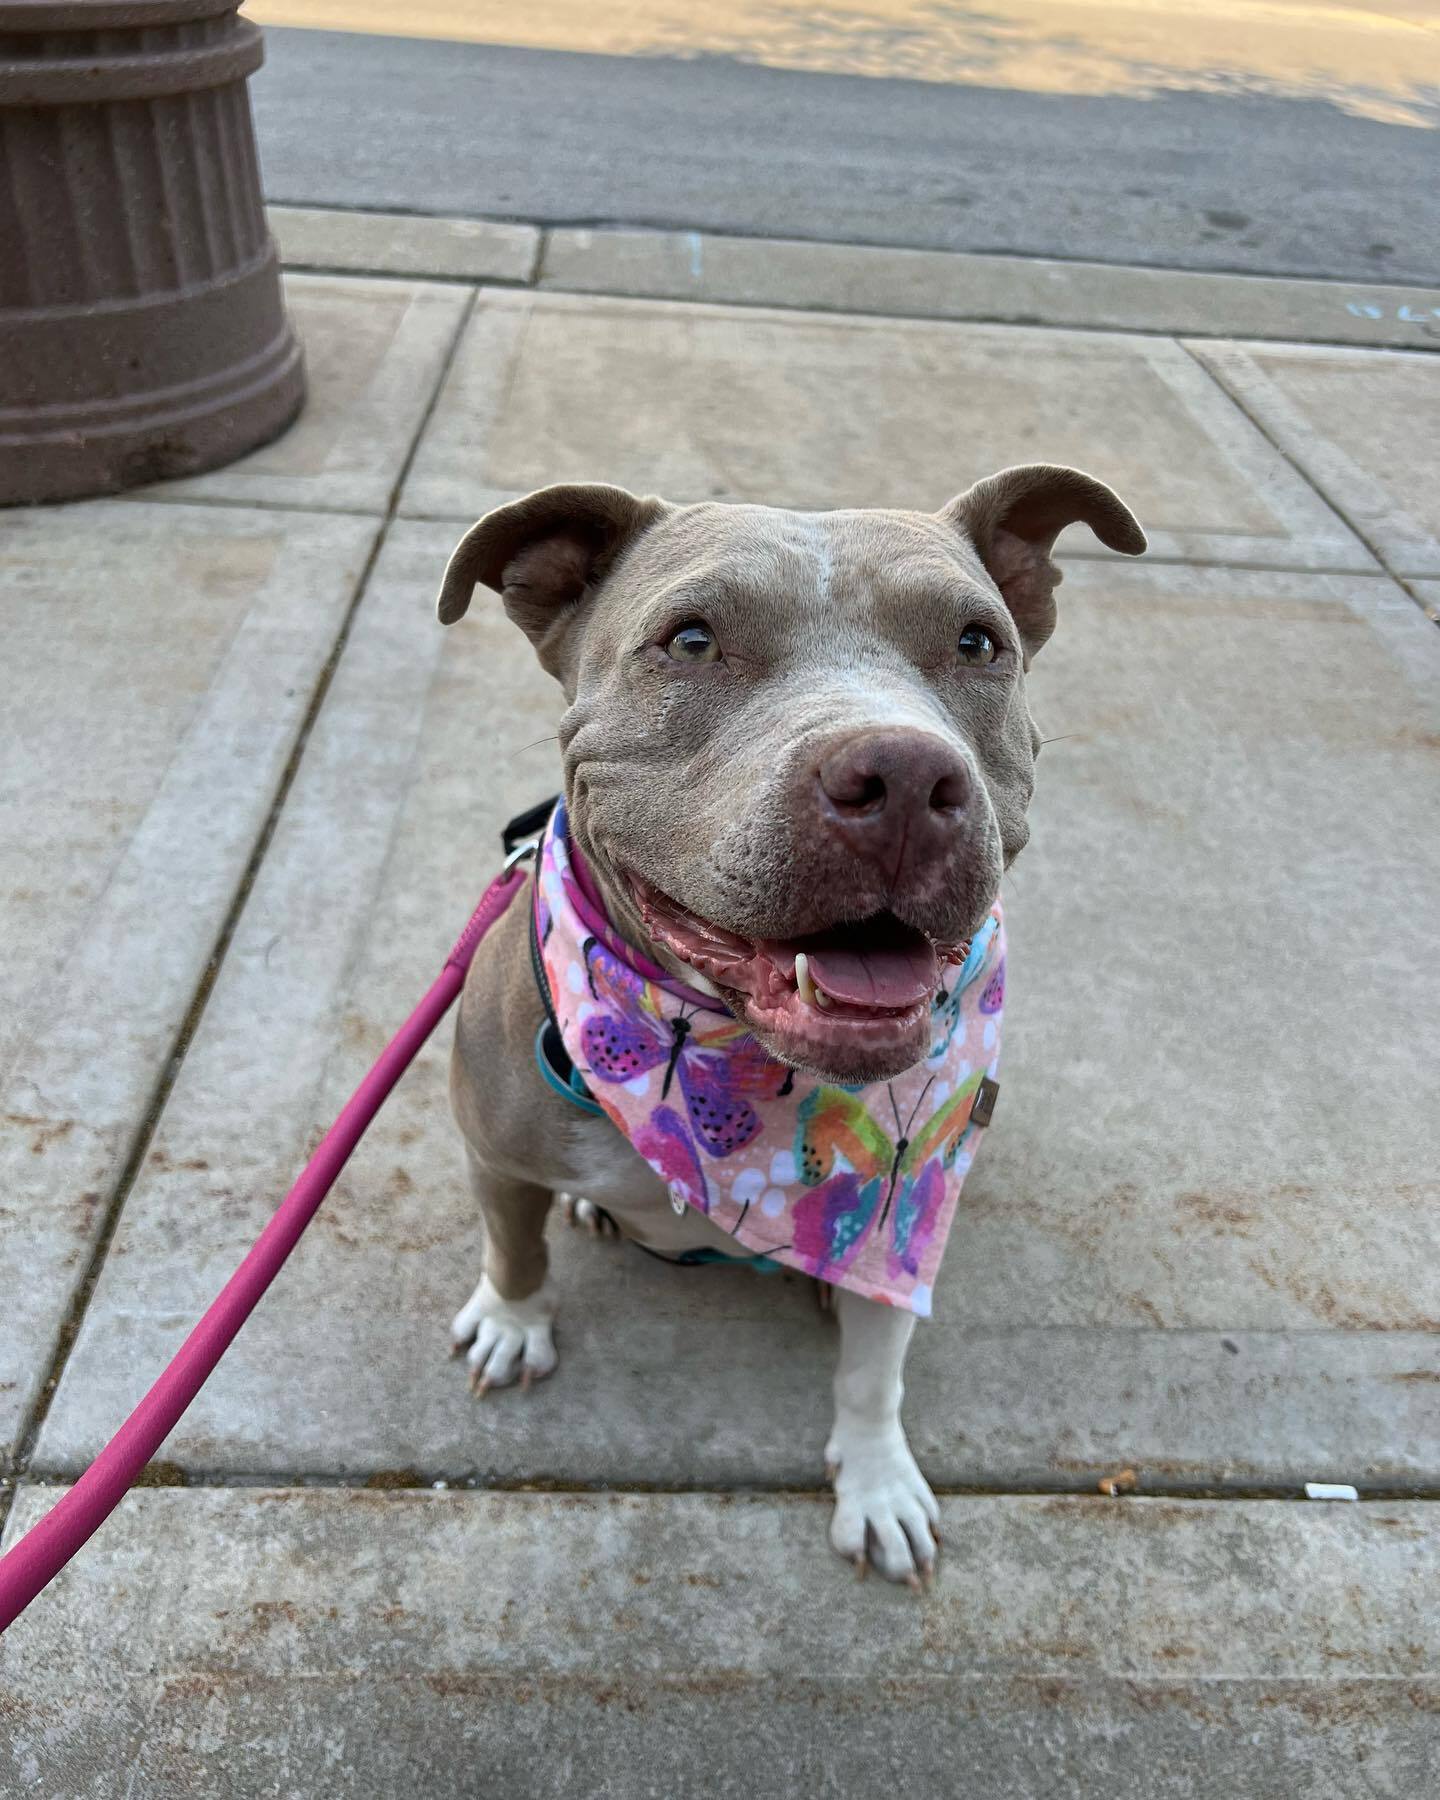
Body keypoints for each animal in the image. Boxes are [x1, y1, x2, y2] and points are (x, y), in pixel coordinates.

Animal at [439, 468, 1144, 1591]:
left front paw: (877, 1482)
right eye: (689, 641)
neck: (725, 1060)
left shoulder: (900, 1228)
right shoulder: (492, 1147)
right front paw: (512, 1322)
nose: (904, 778)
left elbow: (872, 1373)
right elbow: (513, 1243)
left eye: (978, 642)